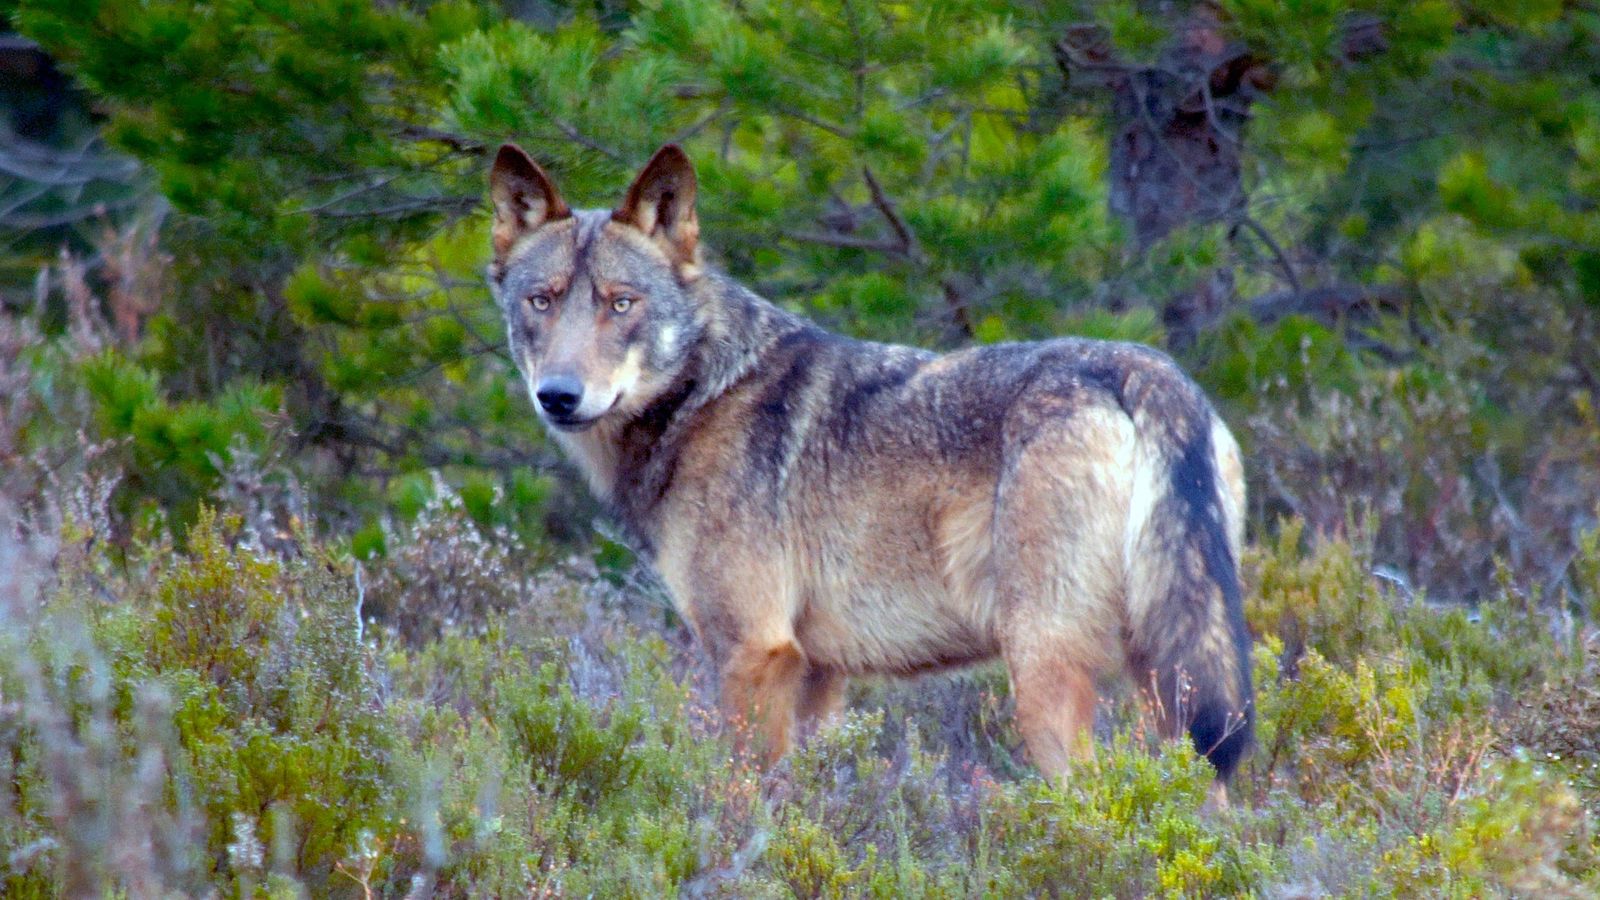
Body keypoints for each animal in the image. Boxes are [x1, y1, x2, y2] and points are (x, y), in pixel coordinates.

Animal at [486, 142, 1254, 787]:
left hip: (1045, 675)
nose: (558, 395)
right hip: (1167, 682)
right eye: (541, 301)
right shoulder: (819, 674)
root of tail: (1145, 370)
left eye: (621, 304)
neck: (704, 394)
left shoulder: (753, 653)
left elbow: (737, 803)